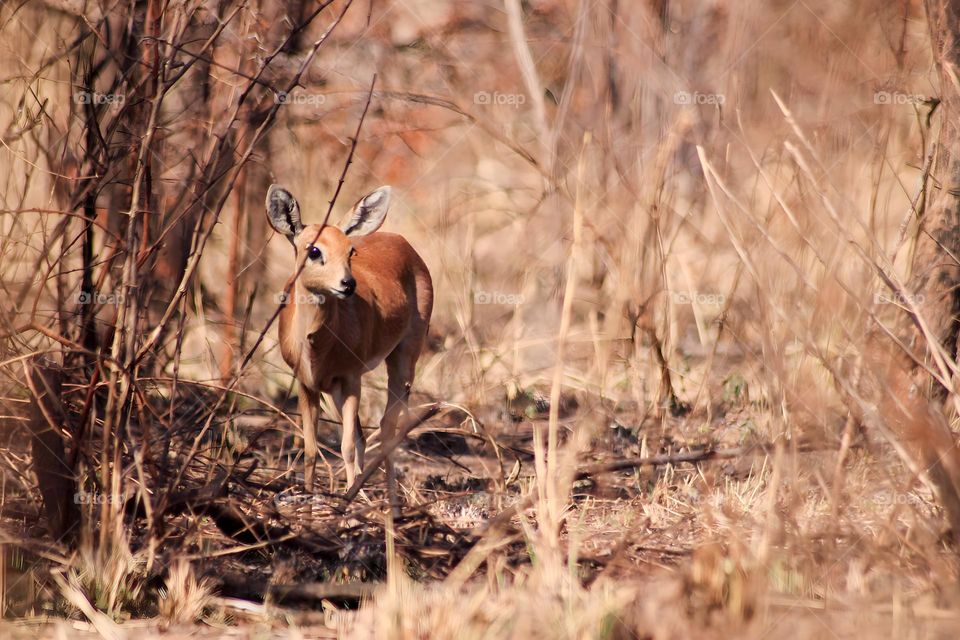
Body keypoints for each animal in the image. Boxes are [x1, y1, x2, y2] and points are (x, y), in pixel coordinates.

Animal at [264, 182, 434, 512]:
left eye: (350, 250)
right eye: (313, 249)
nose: (348, 284)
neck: (316, 345)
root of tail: (403, 242)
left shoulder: (352, 377)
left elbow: (345, 446)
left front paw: (347, 503)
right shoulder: (307, 385)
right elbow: (311, 449)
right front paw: (310, 500)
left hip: (403, 356)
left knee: (387, 427)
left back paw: (391, 505)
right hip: (336, 390)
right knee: (364, 435)